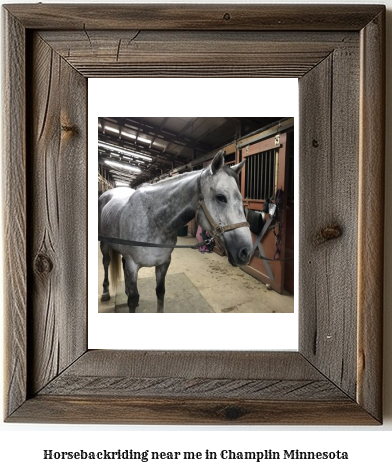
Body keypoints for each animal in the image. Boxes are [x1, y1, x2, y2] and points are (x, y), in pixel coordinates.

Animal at [99, 152, 254, 312]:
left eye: (240, 198)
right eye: (220, 197)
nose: (246, 252)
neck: (154, 220)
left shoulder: (163, 263)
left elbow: (160, 292)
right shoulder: (132, 265)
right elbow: (133, 300)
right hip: (104, 245)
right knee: (106, 263)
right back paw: (105, 293)